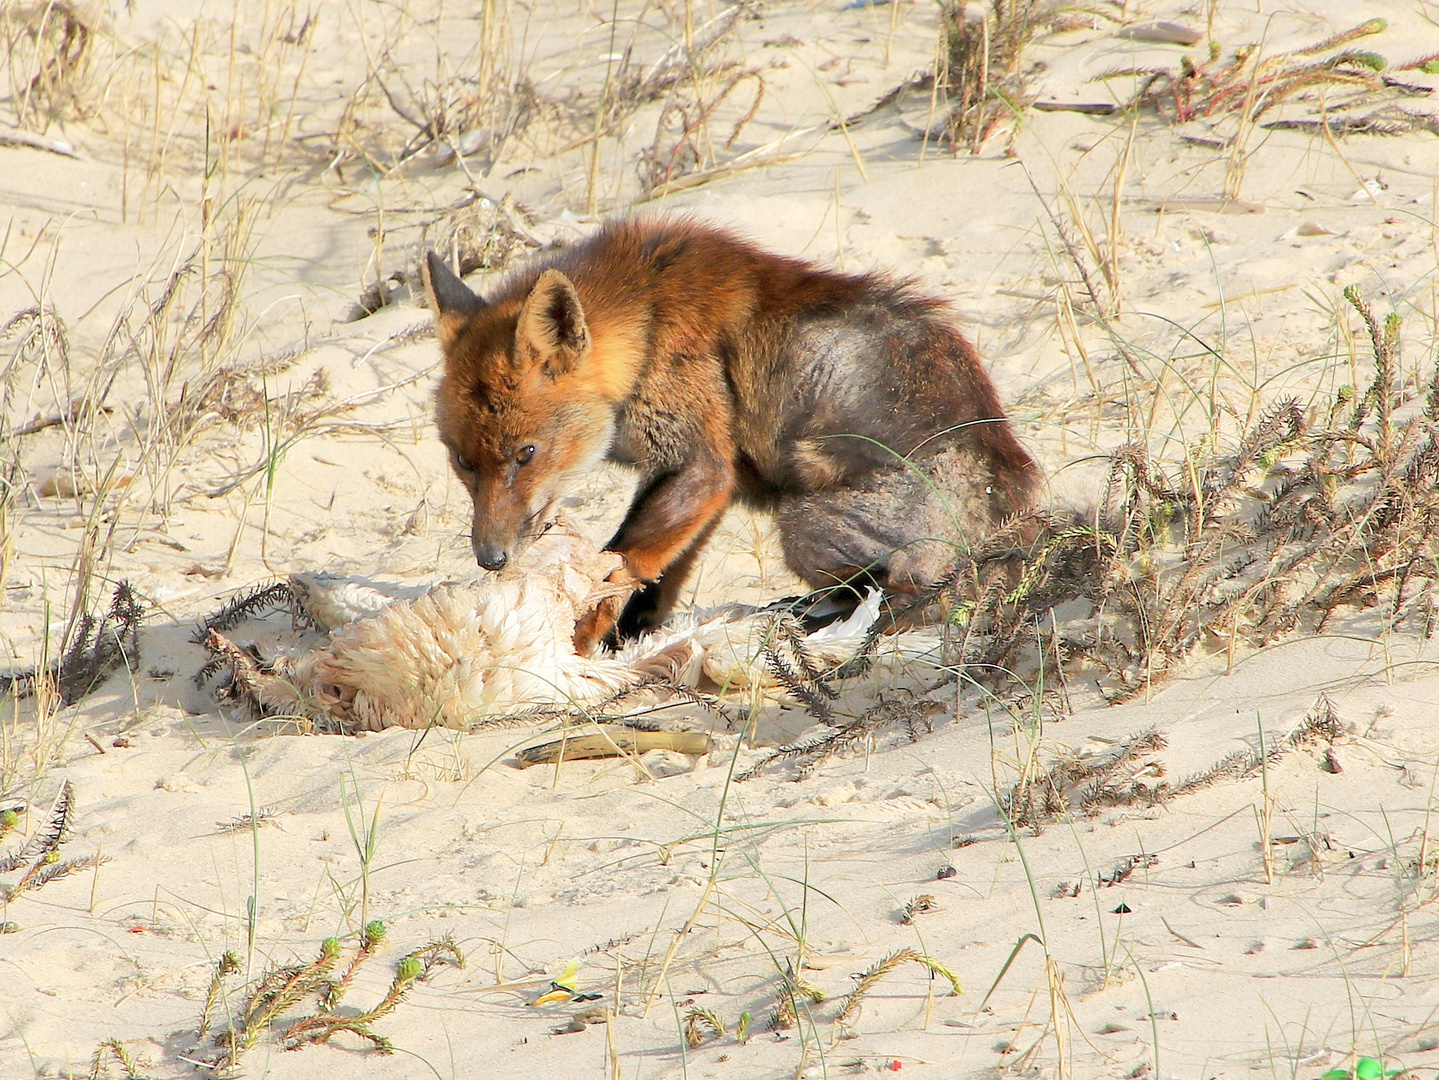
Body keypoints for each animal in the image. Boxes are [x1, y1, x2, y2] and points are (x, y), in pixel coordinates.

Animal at [420, 215, 1041, 647]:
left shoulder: (699, 462)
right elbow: (659, 573)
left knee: (898, 593)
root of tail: (1013, 518)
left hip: (803, 522)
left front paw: (574, 646)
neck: (645, 329)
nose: (490, 559)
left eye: (527, 453)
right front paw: (626, 636)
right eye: (463, 462)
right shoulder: (708, 478)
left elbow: (620, 561)